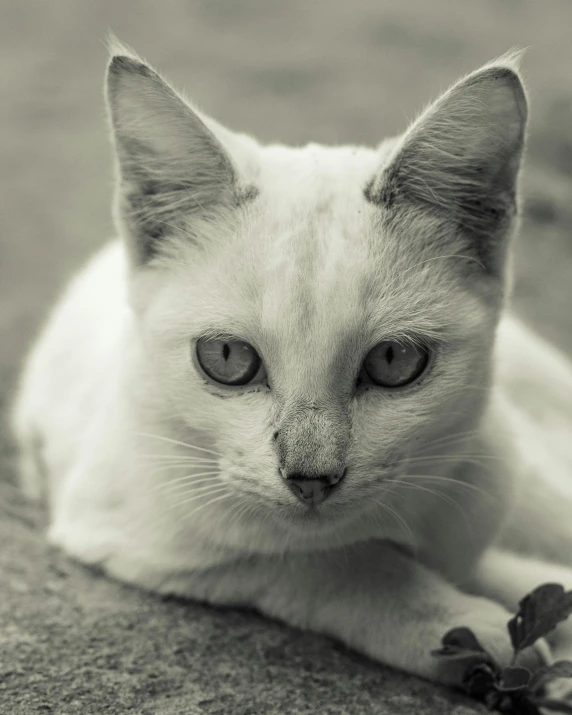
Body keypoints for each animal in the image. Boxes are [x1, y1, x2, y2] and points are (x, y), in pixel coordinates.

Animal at [10, 43, 572, 688]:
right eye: (227, 358)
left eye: (394, 359)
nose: (310, 478)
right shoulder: (122, 521)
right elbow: (327, 559)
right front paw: (457, 623)